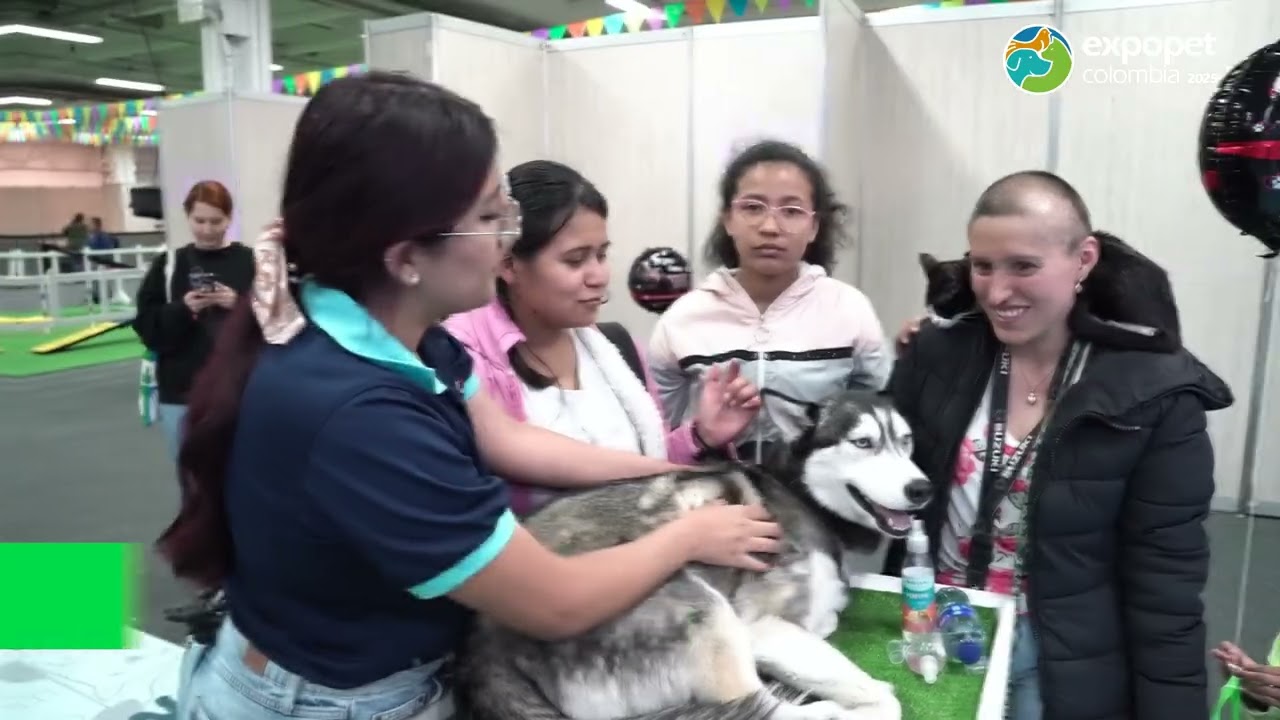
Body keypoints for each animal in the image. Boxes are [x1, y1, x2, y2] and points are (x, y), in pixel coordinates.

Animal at [455, 388, 931, 720]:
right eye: (863, 442)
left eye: (907, 441)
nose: (922, 489)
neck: (800, 494)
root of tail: (483, 645)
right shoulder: (761, 627)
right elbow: (880, 695)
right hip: (700, 606)